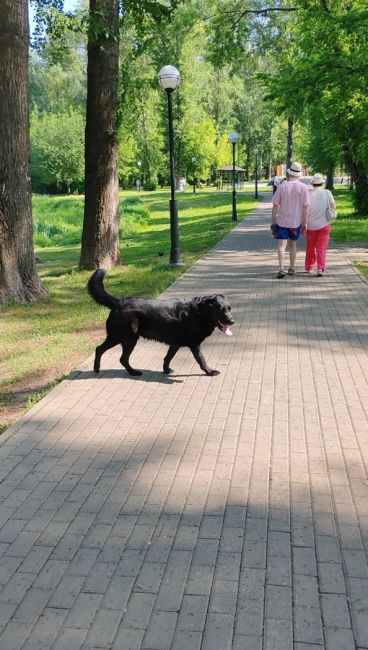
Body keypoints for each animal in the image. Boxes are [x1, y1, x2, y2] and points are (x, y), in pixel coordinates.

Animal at [87, 268, 234, 378]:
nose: (232, 321)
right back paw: (99, 369)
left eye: (229, 308)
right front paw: (210, 372)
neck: (199, 313)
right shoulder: (194, 345)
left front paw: (166, 370)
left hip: (126, 338)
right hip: (124, 337)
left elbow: (168, 357)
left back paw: (131, 371)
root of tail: (118, 302)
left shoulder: (175, 344)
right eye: (221, 310)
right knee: (102, 350)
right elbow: (201, 360)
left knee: (120, 358)